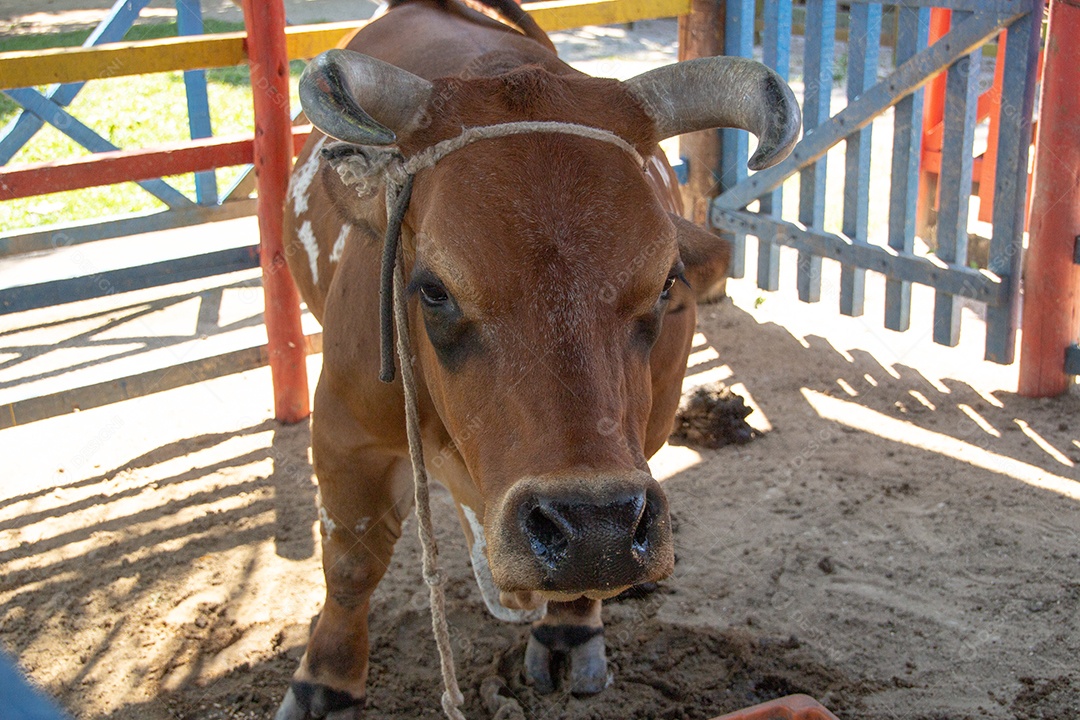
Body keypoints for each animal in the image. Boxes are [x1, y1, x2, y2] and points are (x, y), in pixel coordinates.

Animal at [277, 0, 799, 716]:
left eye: (666, 281)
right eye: (434, 289)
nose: (595, 525)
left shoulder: (648, 434)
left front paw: (569, 631)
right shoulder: (344, 432)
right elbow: (353, 561)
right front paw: (325, 681)